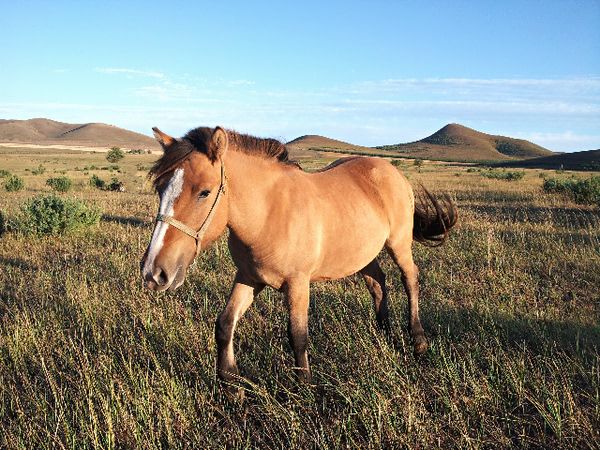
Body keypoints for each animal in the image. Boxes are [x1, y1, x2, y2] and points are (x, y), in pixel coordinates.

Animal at [141, 125, 458, 384]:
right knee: (378, 284)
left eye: (204, 192)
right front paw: (231, 384)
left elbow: (298, 336)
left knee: (410, 279)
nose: (153, 272)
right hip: (364, 254)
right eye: (160, 188)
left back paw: (418, 341)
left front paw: (304, 389)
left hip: (399, 244)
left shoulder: (297, 283)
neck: (268, 213)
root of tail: (391, 170)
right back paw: (385, 334)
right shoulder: (248, 277)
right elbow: (225, 323)